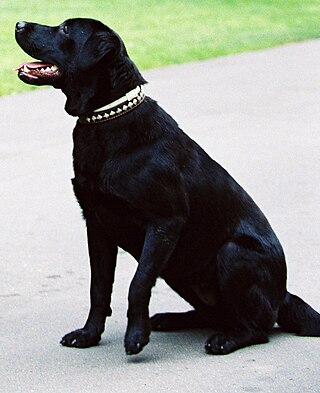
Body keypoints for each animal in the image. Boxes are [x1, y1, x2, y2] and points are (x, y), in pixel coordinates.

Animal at [15, 17, 320, 356]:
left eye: (67, 29)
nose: (18, 23)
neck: (106, 119)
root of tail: (283, 295)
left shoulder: (165, 221)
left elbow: (138, 283)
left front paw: (136, 336)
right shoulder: (96, 223)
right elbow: (99, 288)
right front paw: (88, 335)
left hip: (232, 254)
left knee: (259, 327)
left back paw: (226, 339)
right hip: (179, 271)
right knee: (214, 313)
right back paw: (172, 319)